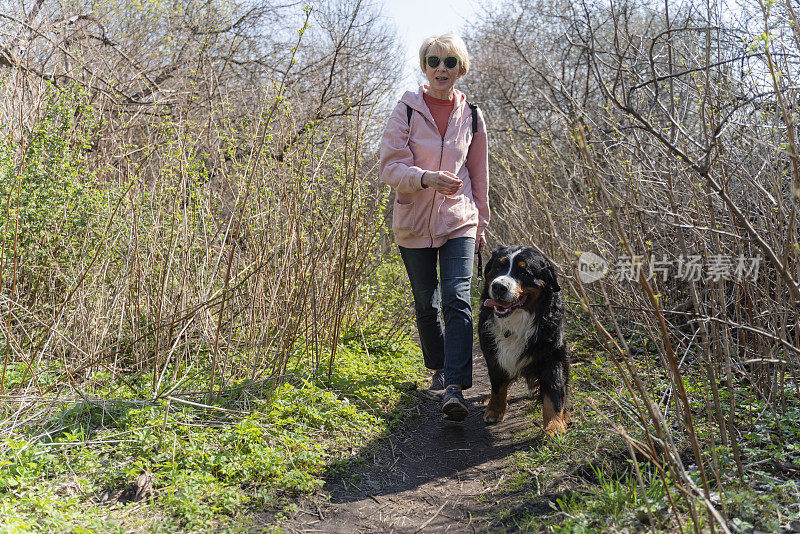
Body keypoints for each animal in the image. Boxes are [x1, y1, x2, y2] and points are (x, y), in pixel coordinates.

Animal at [476, 247, 568, 436]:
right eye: (499, 266)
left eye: (524, 272)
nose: (498, 286)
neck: (516, 321)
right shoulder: (493, 355)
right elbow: (497, 385)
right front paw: (494, 410)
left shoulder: (553, 356)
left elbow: (554, 393)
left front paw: (554, 426)